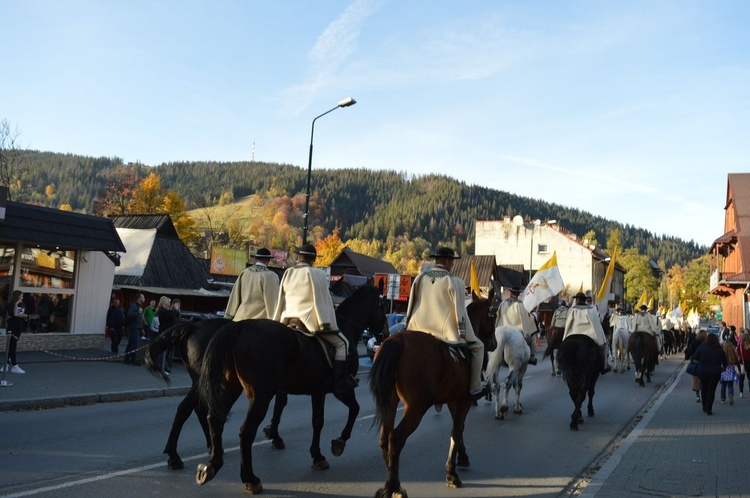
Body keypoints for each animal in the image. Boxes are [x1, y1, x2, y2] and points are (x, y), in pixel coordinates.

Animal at [197, 284, 388, 494]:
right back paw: (250, 479)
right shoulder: (341, 389)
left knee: (215, 419)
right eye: (383, 305)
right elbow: (354, 409)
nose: (385, 334)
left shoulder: (318, 391)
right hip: (260, 395)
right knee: (245, 431)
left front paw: (317, 456)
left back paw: (212, 465)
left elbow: (317, 421)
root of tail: (238, 327)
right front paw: (339, 442)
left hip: (231, 387)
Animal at [368, 296, 496, 498]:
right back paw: (392, 485)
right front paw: (451, 474)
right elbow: (457, 431)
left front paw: (461, 457)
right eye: (494, 315)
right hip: (415, 408)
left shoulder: (452, 399)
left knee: (384, 438)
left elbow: (458, 430)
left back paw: (394, 483)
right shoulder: (465, 400)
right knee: (396, 438)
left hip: (390, 402)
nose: (494, 343)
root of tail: (396, 340)